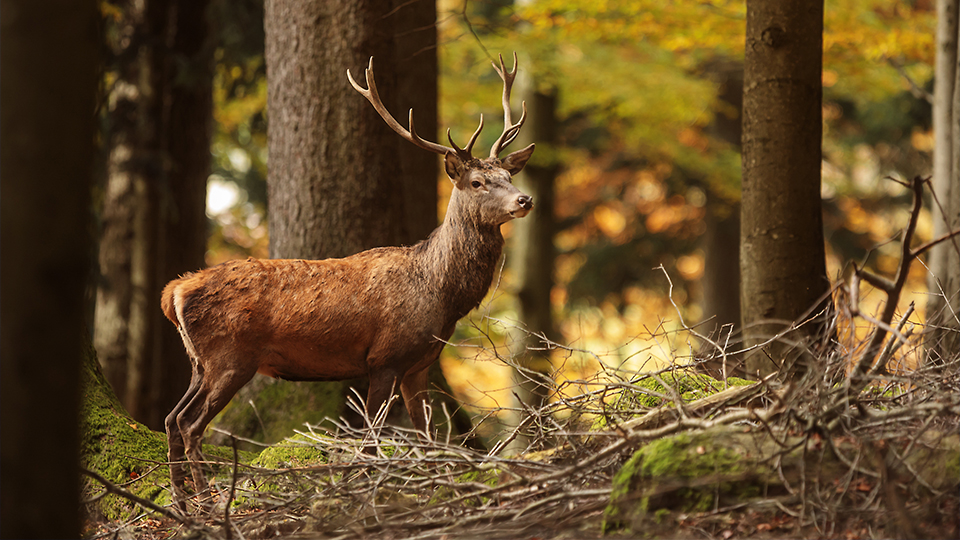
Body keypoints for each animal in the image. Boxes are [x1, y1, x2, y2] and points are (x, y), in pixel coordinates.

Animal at [161, 53, 534, 505]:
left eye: (509, 177)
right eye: (477, 182)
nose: (524, 199)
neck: (440, 294)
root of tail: (175, 291)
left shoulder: (419, 365)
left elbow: (428, 436)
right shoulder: (384, 358)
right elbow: (372, 439)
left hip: (200, 361)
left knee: (171, 418)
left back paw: (181, 498)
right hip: (229, 357)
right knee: (190, 424)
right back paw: (208, 500)